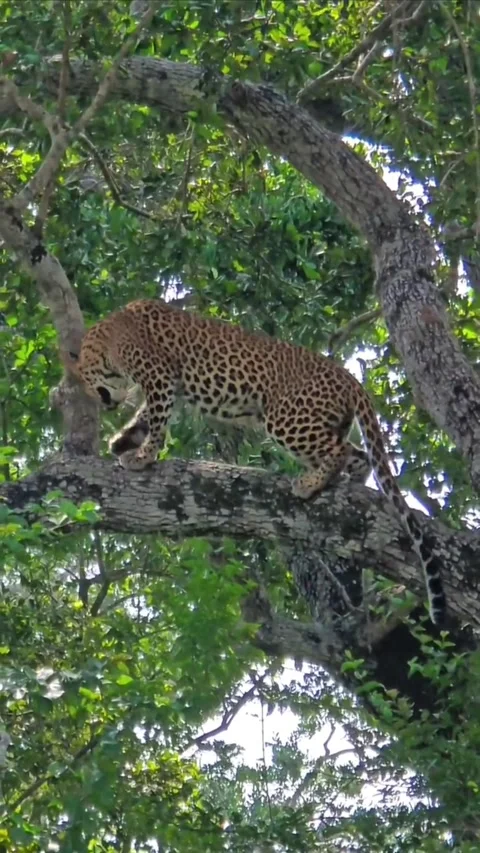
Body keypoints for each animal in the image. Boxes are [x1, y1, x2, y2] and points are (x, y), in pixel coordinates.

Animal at [67, 298, 447, 625]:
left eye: (88, 384)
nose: (108, 406)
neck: (107, 339)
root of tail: (351, 379)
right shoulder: (166, 385)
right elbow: (147, 416)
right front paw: (123, 441)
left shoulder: (159, 377)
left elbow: (158, 421)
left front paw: (143, 457)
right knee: (359, 455)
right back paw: (346, 482)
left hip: (284, 418)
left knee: (340, 451)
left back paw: (310, 483)